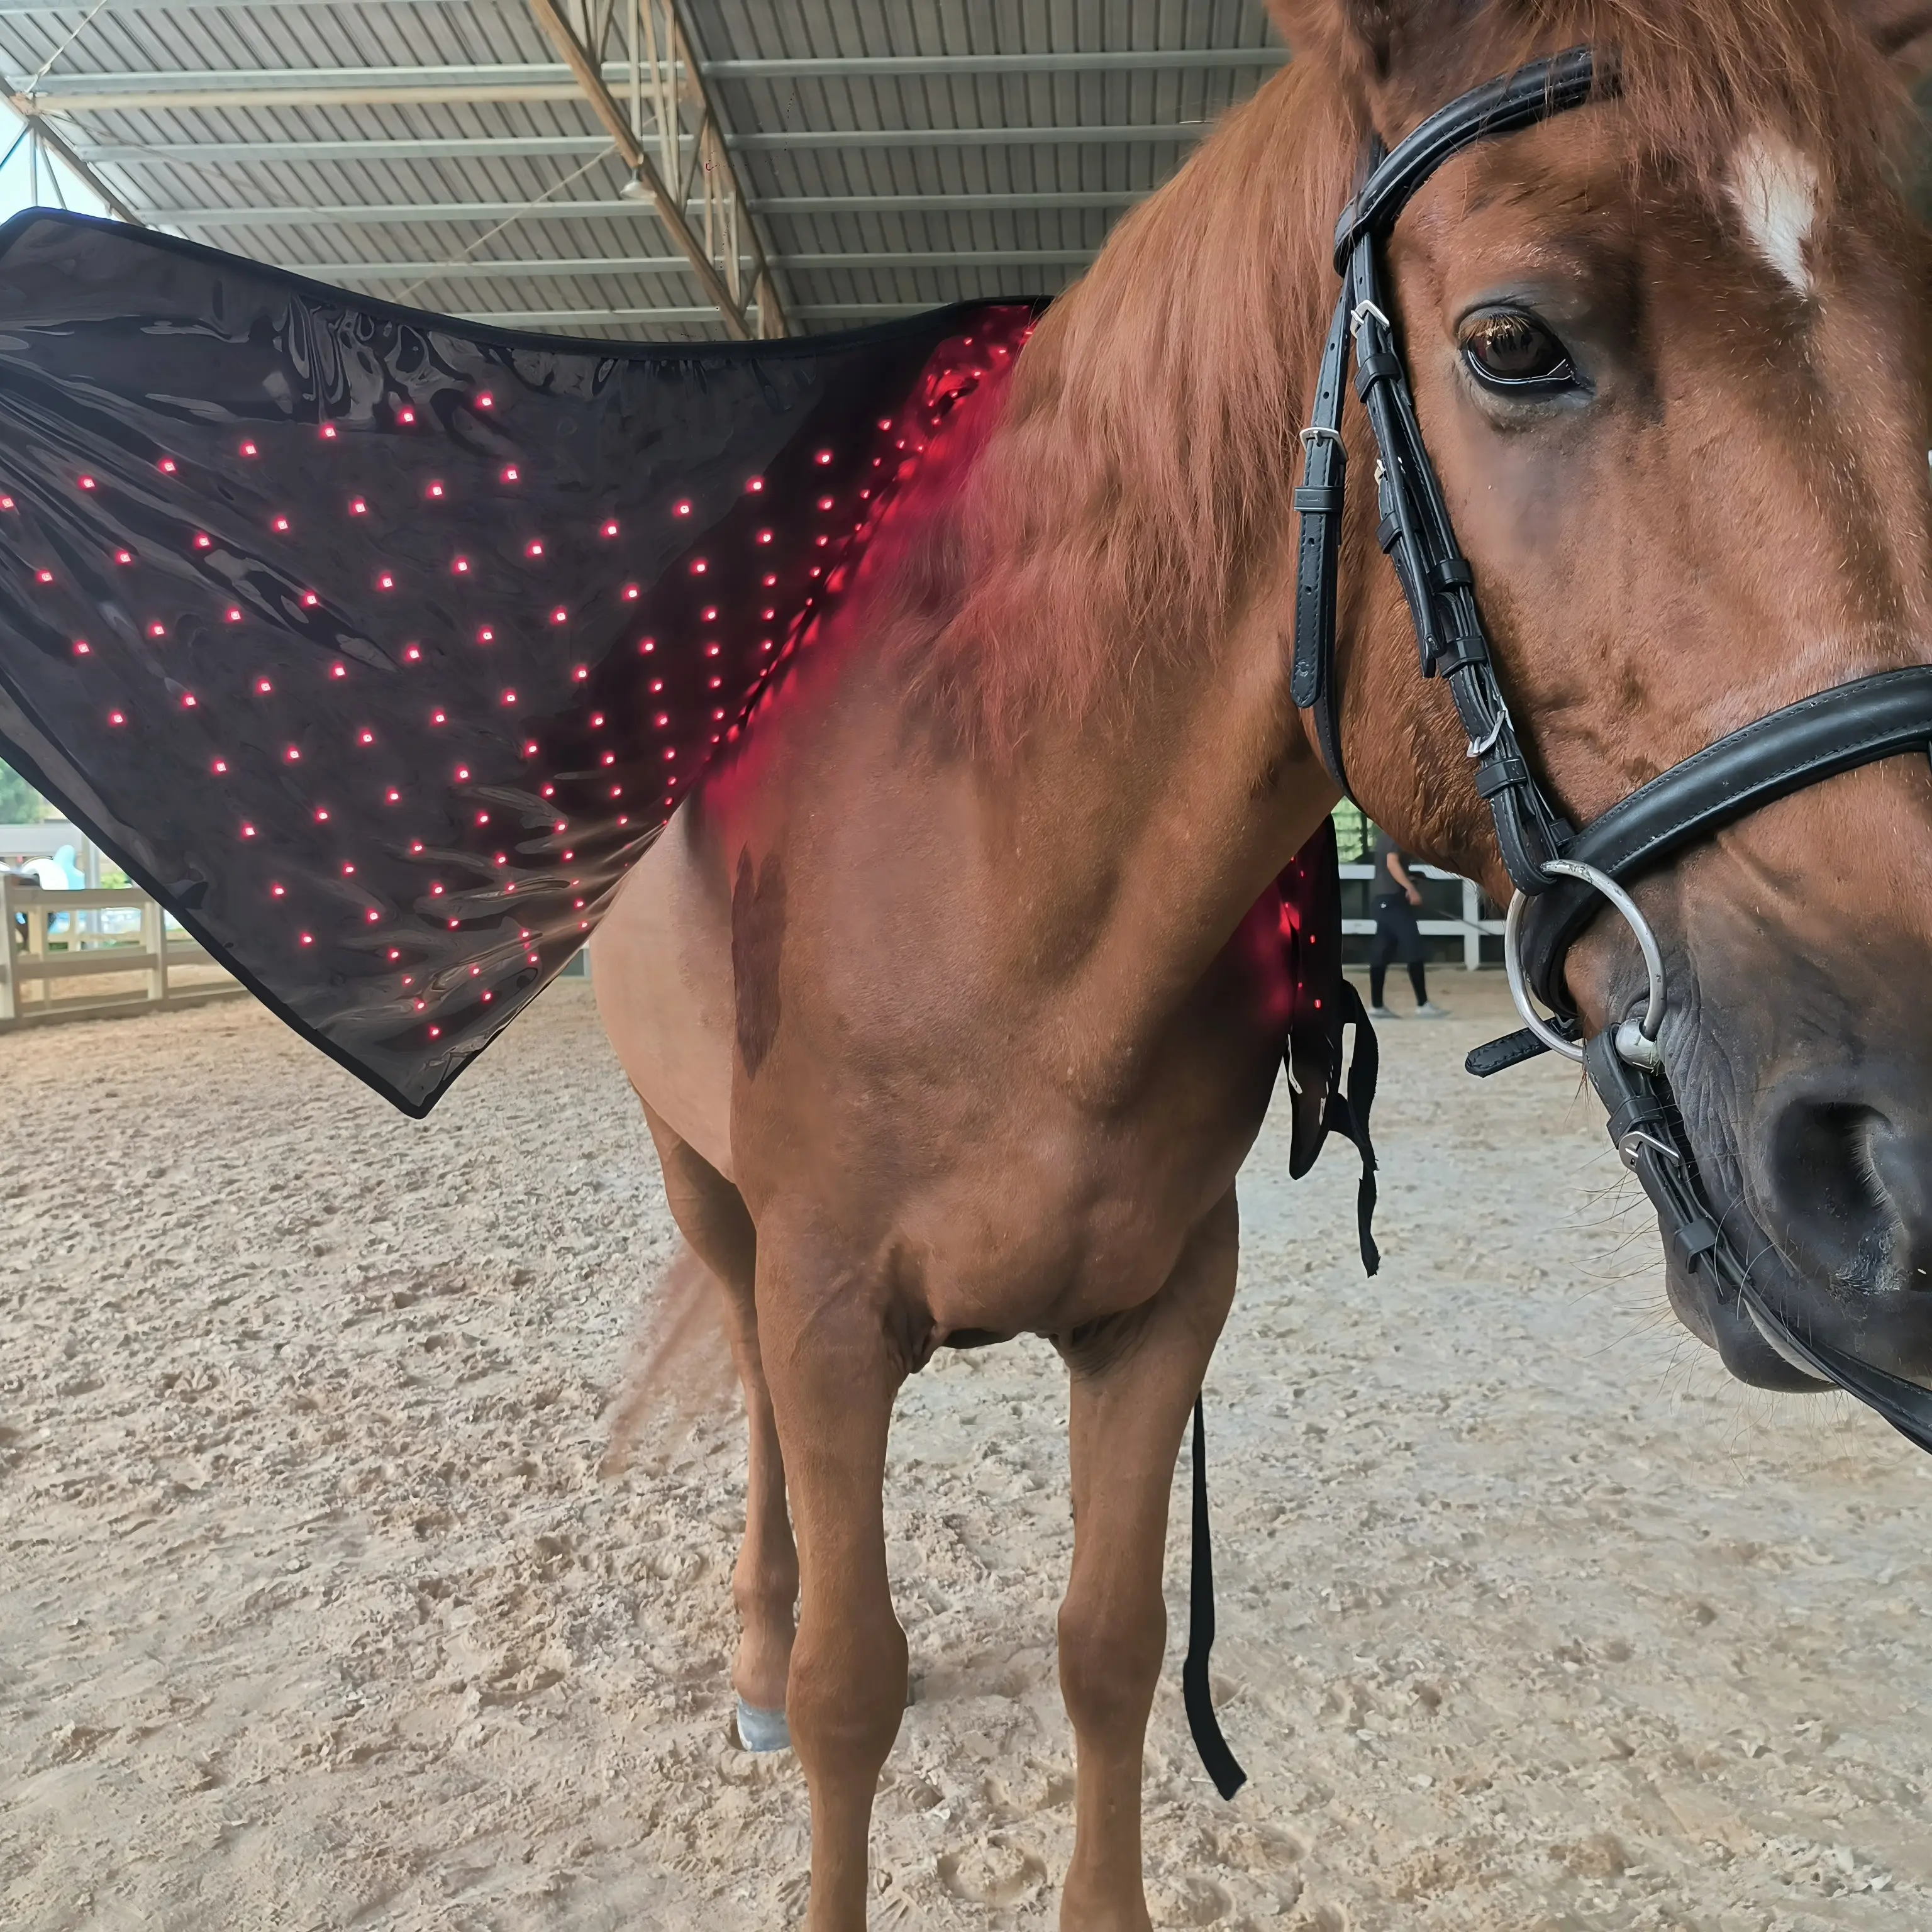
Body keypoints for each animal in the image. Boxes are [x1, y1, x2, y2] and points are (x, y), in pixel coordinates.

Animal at [589, 2, 1932, 1925]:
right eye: (1509, 341)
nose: (1907, 1157)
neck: (1002, 888)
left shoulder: (1160, 1312)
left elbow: (1112, 1648)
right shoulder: (834, 1311)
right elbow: (859, 1691)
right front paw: (808, 1681)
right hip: (711, 1196)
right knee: (766, 1432)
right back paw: (757, 1655)